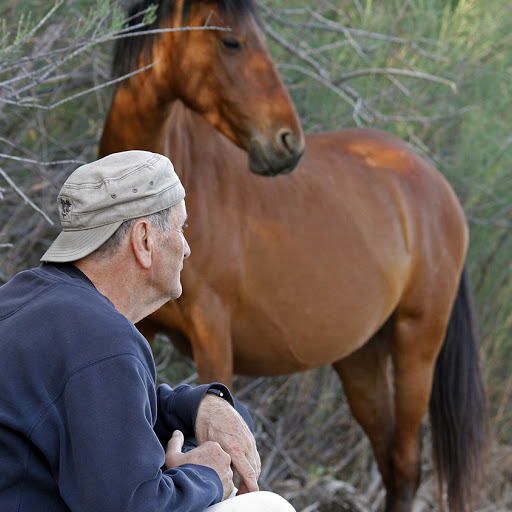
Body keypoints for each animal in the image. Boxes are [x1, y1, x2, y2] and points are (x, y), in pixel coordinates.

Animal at [99, 1, 488, 512]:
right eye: (231, 41)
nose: (287, 142)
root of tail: (437, 183)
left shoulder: (213, 337)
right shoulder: (138, 330)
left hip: (416, 346)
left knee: (405, 464)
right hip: (361, 358)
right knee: (390, 462)